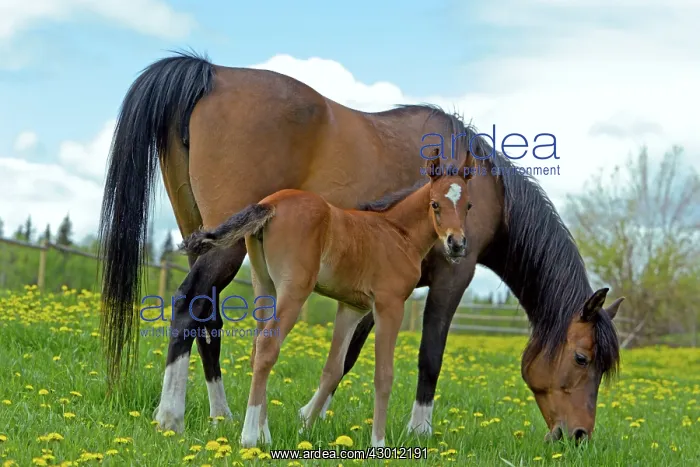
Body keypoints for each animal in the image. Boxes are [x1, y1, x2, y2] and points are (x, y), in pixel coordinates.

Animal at [178, 154, 475, 447]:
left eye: (468, 205)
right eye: (435, 204)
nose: (457, 244)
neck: (398, 233)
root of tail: (270, 204)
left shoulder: (351, 308)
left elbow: (333, 369)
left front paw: (304, 429)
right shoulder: (389, 305)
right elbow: (384, 374)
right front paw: (378, 444)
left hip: (264, 285)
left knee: (257, 347)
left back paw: (264, 435)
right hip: (294, 290)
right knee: (267, 347)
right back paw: (250, 436)